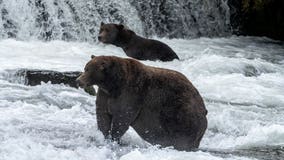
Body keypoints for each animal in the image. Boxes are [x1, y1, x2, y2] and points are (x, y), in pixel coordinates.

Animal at [76, 55, 207, 151]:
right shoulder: (105, 96)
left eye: (89, 70)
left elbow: (122, 118)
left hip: (180, 113)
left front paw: (114, 138)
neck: (112, 84)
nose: (78, 80)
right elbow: (103, 116)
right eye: (85, 68)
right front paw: (103, 135)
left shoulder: (131, 93)